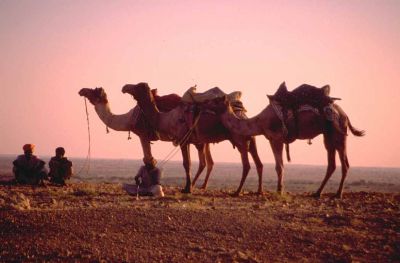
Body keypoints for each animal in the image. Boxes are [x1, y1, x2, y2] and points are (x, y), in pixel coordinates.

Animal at [79, 87, 216, 184]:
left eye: (93, 91)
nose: (81, 91)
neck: (128, 119)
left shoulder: (142, 134)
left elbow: (149, 160)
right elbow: (149, 160)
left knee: (203, 162)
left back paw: (194, 185)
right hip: (202, 139)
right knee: (207, 162)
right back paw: (199, 186)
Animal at [122, 83, 266, 196]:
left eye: (137, 86)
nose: (124, 87)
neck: (167, 118)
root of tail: (242, 113)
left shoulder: (182, 140)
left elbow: (187, 163)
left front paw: (187, 189)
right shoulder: (191, 141)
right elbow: (192, 163)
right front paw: (189, 187)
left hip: (239, 139)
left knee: (246, 165)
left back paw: (237, 192)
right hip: (250, 139)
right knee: (258, 163)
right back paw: (259, 191)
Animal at [206, 83, 366, 199]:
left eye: (216, 100)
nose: (204, 104)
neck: (259, 121)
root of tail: (345, 114)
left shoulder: (276, 138)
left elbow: (279, 166)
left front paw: (279, 191)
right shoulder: (274, 139)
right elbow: (280, 165)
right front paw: (279, 190)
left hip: (339, 132)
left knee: (344, 164)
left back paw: (338, 194)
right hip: (328, 135)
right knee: (331, 163)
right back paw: (317, 193)